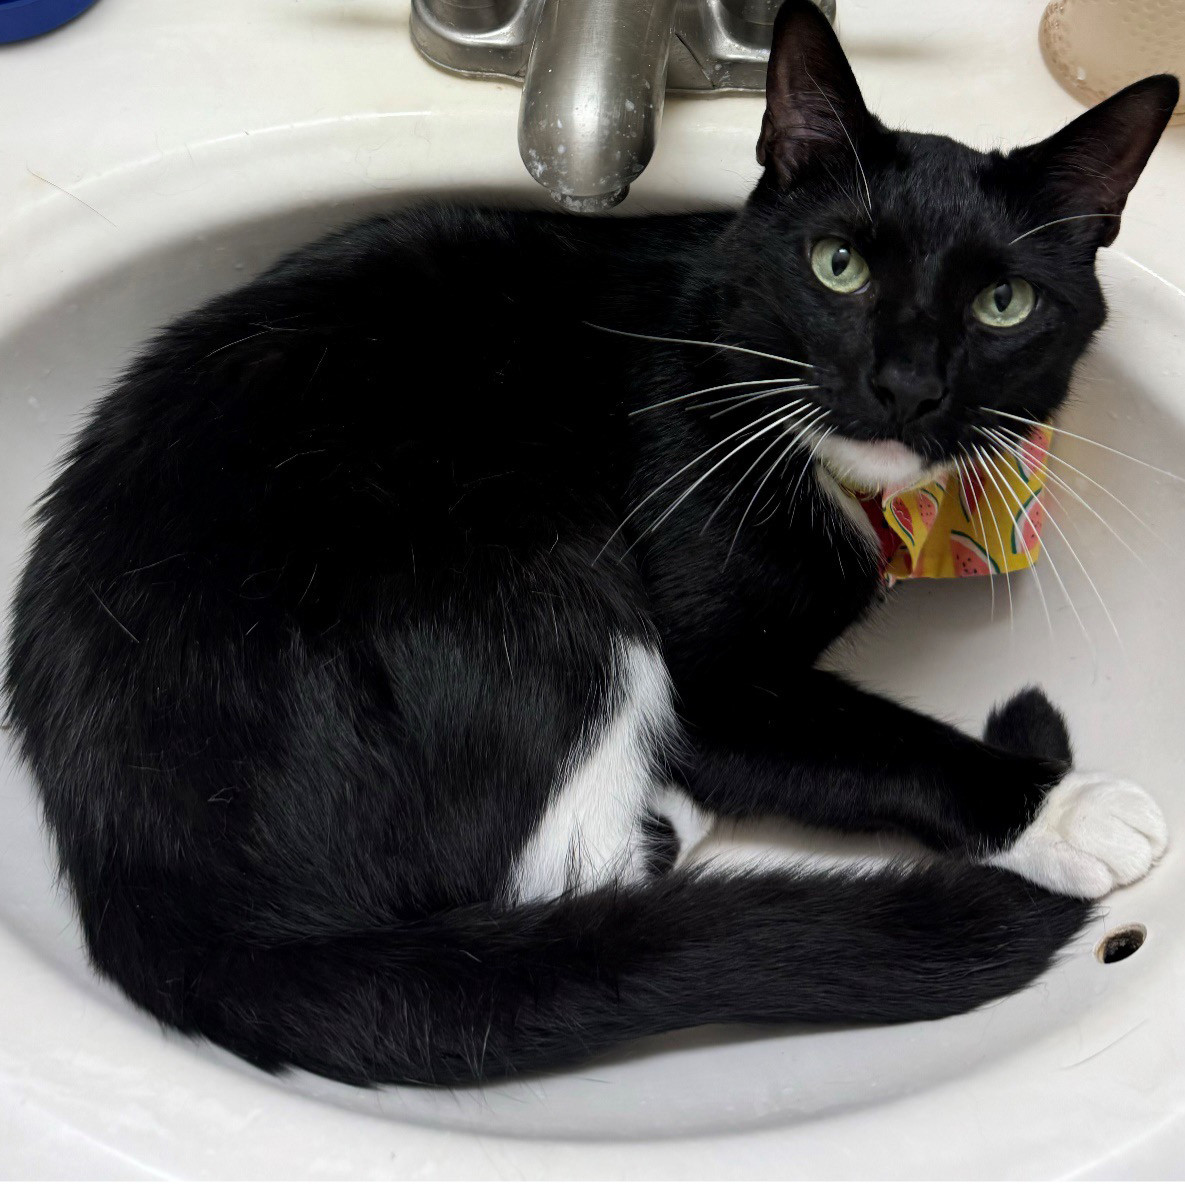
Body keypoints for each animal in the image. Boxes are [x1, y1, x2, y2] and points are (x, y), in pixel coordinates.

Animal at [6, 0, 1175, 1085]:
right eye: (836, 264)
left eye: (1003, 303)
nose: (905, 385)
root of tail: (168, 902)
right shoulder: (707, 671)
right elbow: (871, 739)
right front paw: (1068, 807)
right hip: (524, 560)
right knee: (568, 876)